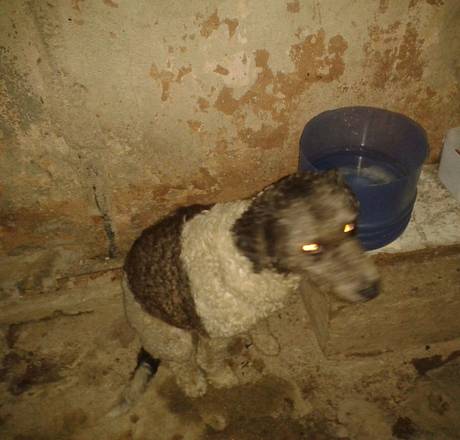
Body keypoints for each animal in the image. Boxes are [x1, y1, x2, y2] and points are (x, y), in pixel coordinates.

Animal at [112, 170, 379, 414]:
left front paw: (266, 342)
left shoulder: (258, 308)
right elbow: (210, 362)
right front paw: (222, 379)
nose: (372, 290)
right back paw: (193, 383)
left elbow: (261, 327)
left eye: (349, 227)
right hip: (173, 339)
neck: (249, 254)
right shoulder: (214, 336)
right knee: (182, 364)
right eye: (310, 247)